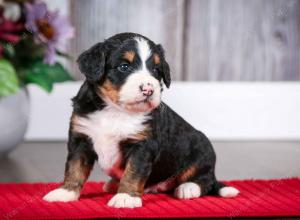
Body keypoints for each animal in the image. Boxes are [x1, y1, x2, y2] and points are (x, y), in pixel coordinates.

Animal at [42, 32, 239, 208]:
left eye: (156, 70)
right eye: (124, 67)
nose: (148, 89)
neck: (115, 111)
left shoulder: (142, 145)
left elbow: (133, 173)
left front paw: (125, 197)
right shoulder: (81, 138)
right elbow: (74, 168)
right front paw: (65, 192)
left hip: (203, 150)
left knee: (205, 179)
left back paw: (188, 188)